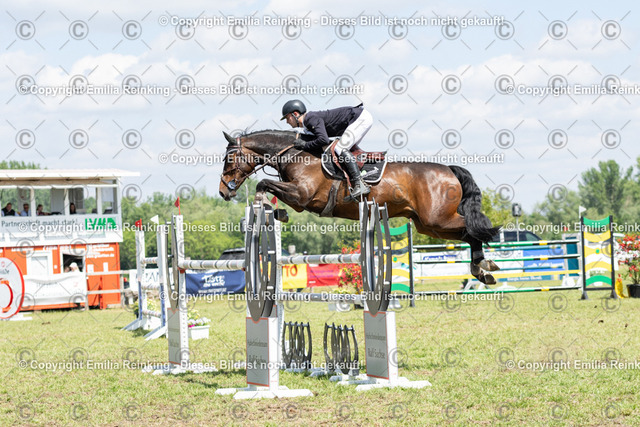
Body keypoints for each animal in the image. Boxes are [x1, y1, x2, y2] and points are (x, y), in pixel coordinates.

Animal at [218, 130, 501, 284]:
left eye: (229, 157)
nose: (223, 191)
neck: (296, 154)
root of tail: (449, 170)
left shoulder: (302, 195)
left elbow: (263, 184)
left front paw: (266, 205)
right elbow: (267, 186)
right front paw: (275, 211)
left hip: (437, 219)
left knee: (472, 230)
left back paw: (483, 267)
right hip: (429, 226)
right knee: (466, 233)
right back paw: (482, 269)